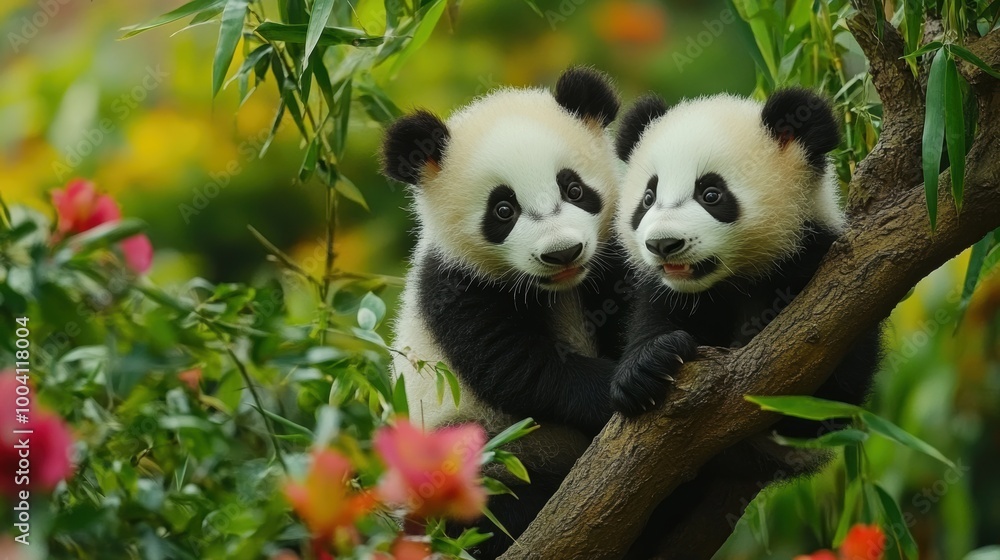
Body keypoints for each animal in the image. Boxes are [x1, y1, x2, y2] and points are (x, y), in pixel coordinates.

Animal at [381, 67, 631, 559]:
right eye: (503, 209)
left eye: (574, 189)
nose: (563, 252)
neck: (557, 289)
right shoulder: (455, 285)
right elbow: (516, 367)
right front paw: (622, 380)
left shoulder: (611, 255)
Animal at [610, 89, 882, 558]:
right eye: (648, 197)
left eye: (711, 193)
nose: (664, 244)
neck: (732, 279)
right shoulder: (669, 293)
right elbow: (651, 323)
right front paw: (648, 368)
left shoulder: (825, 272)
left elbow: (825, 402)